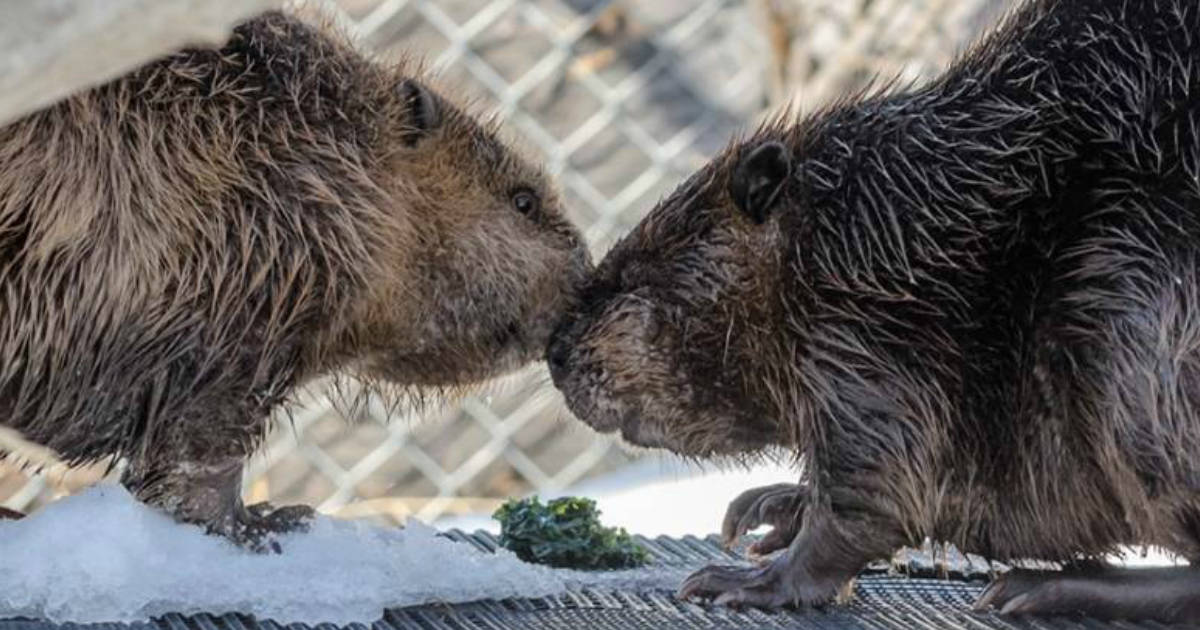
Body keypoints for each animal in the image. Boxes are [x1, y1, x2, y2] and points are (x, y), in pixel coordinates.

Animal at [549, 0, 1200, 619]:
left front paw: (745, 578)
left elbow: (876, 489)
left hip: (1129, 312)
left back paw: (1044, 587)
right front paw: (767, 508)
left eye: (632, 274)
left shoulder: (866, 336)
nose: (555, 352)